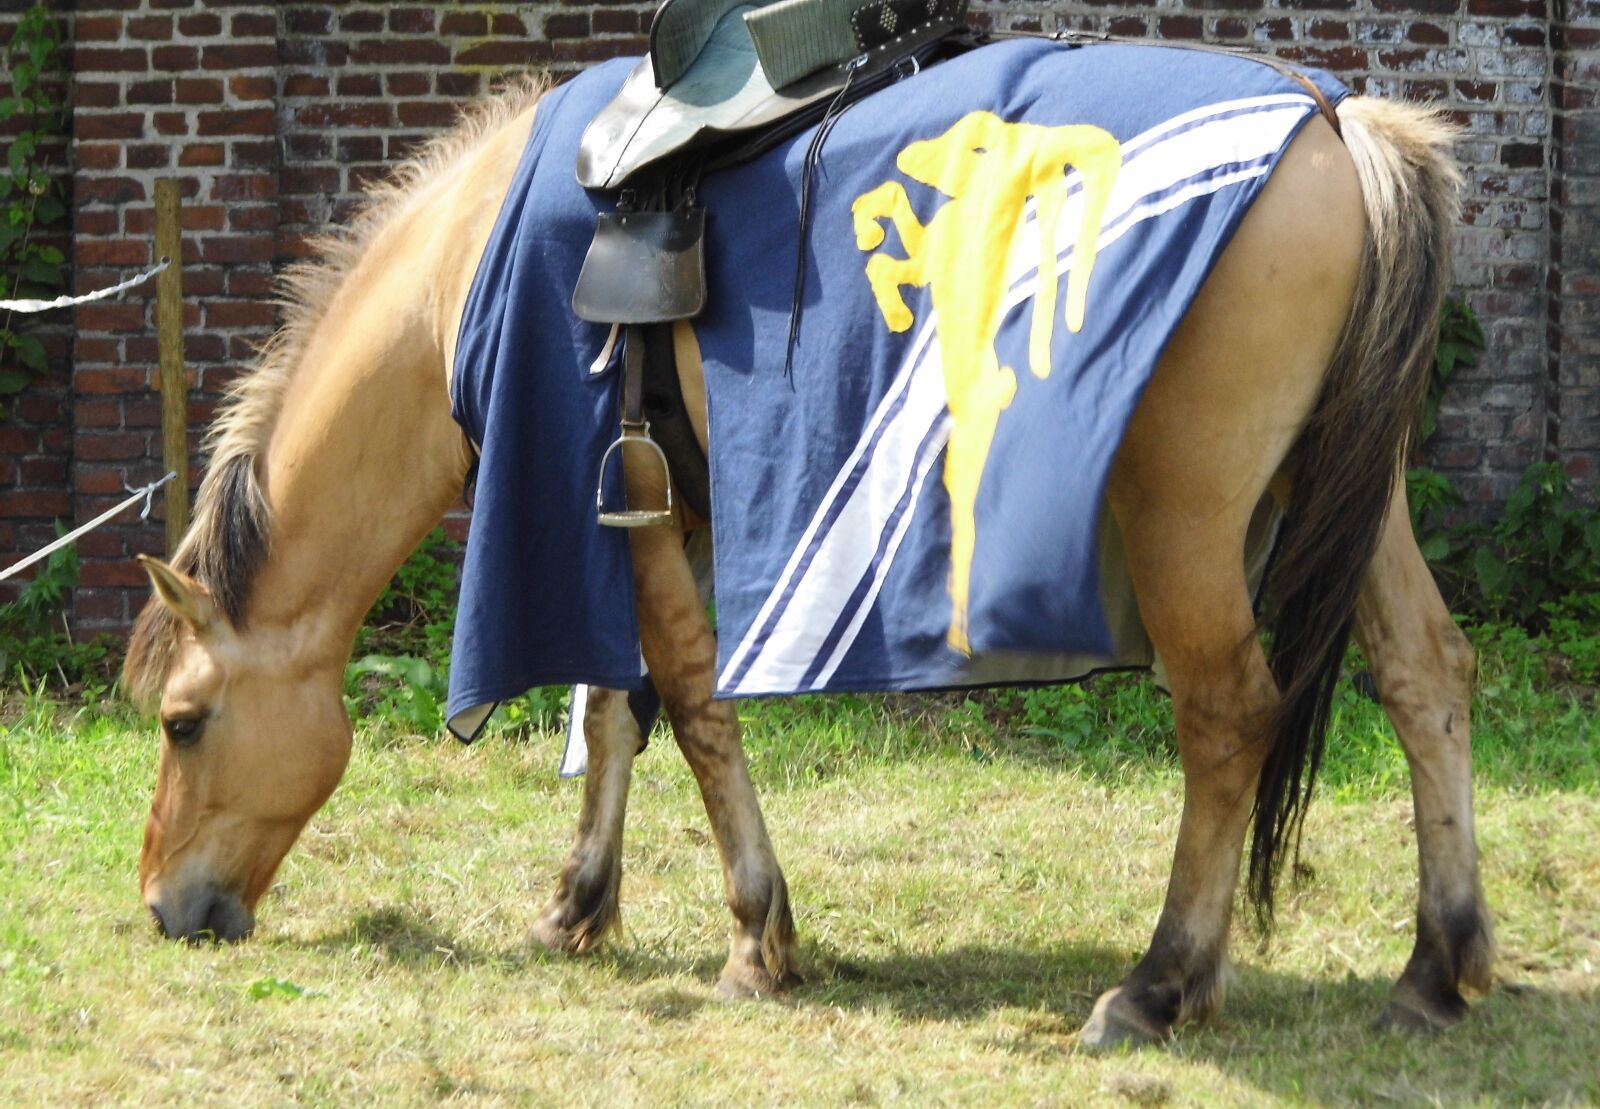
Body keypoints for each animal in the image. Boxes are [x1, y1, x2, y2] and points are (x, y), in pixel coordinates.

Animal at [121, 57, 1492, 1048]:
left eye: (185, 722)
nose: (164, 908)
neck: (472, 268)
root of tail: (1335, 125)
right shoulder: (650, 515)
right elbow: (611, 709)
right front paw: (580, 901)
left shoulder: (623, 502)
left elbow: (687, 700)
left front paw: (753, 933)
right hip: (1353, 495)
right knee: (1425, 674)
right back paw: (1437, 961)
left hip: (1187, 522)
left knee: (1225, 717)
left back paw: (1160, 981)